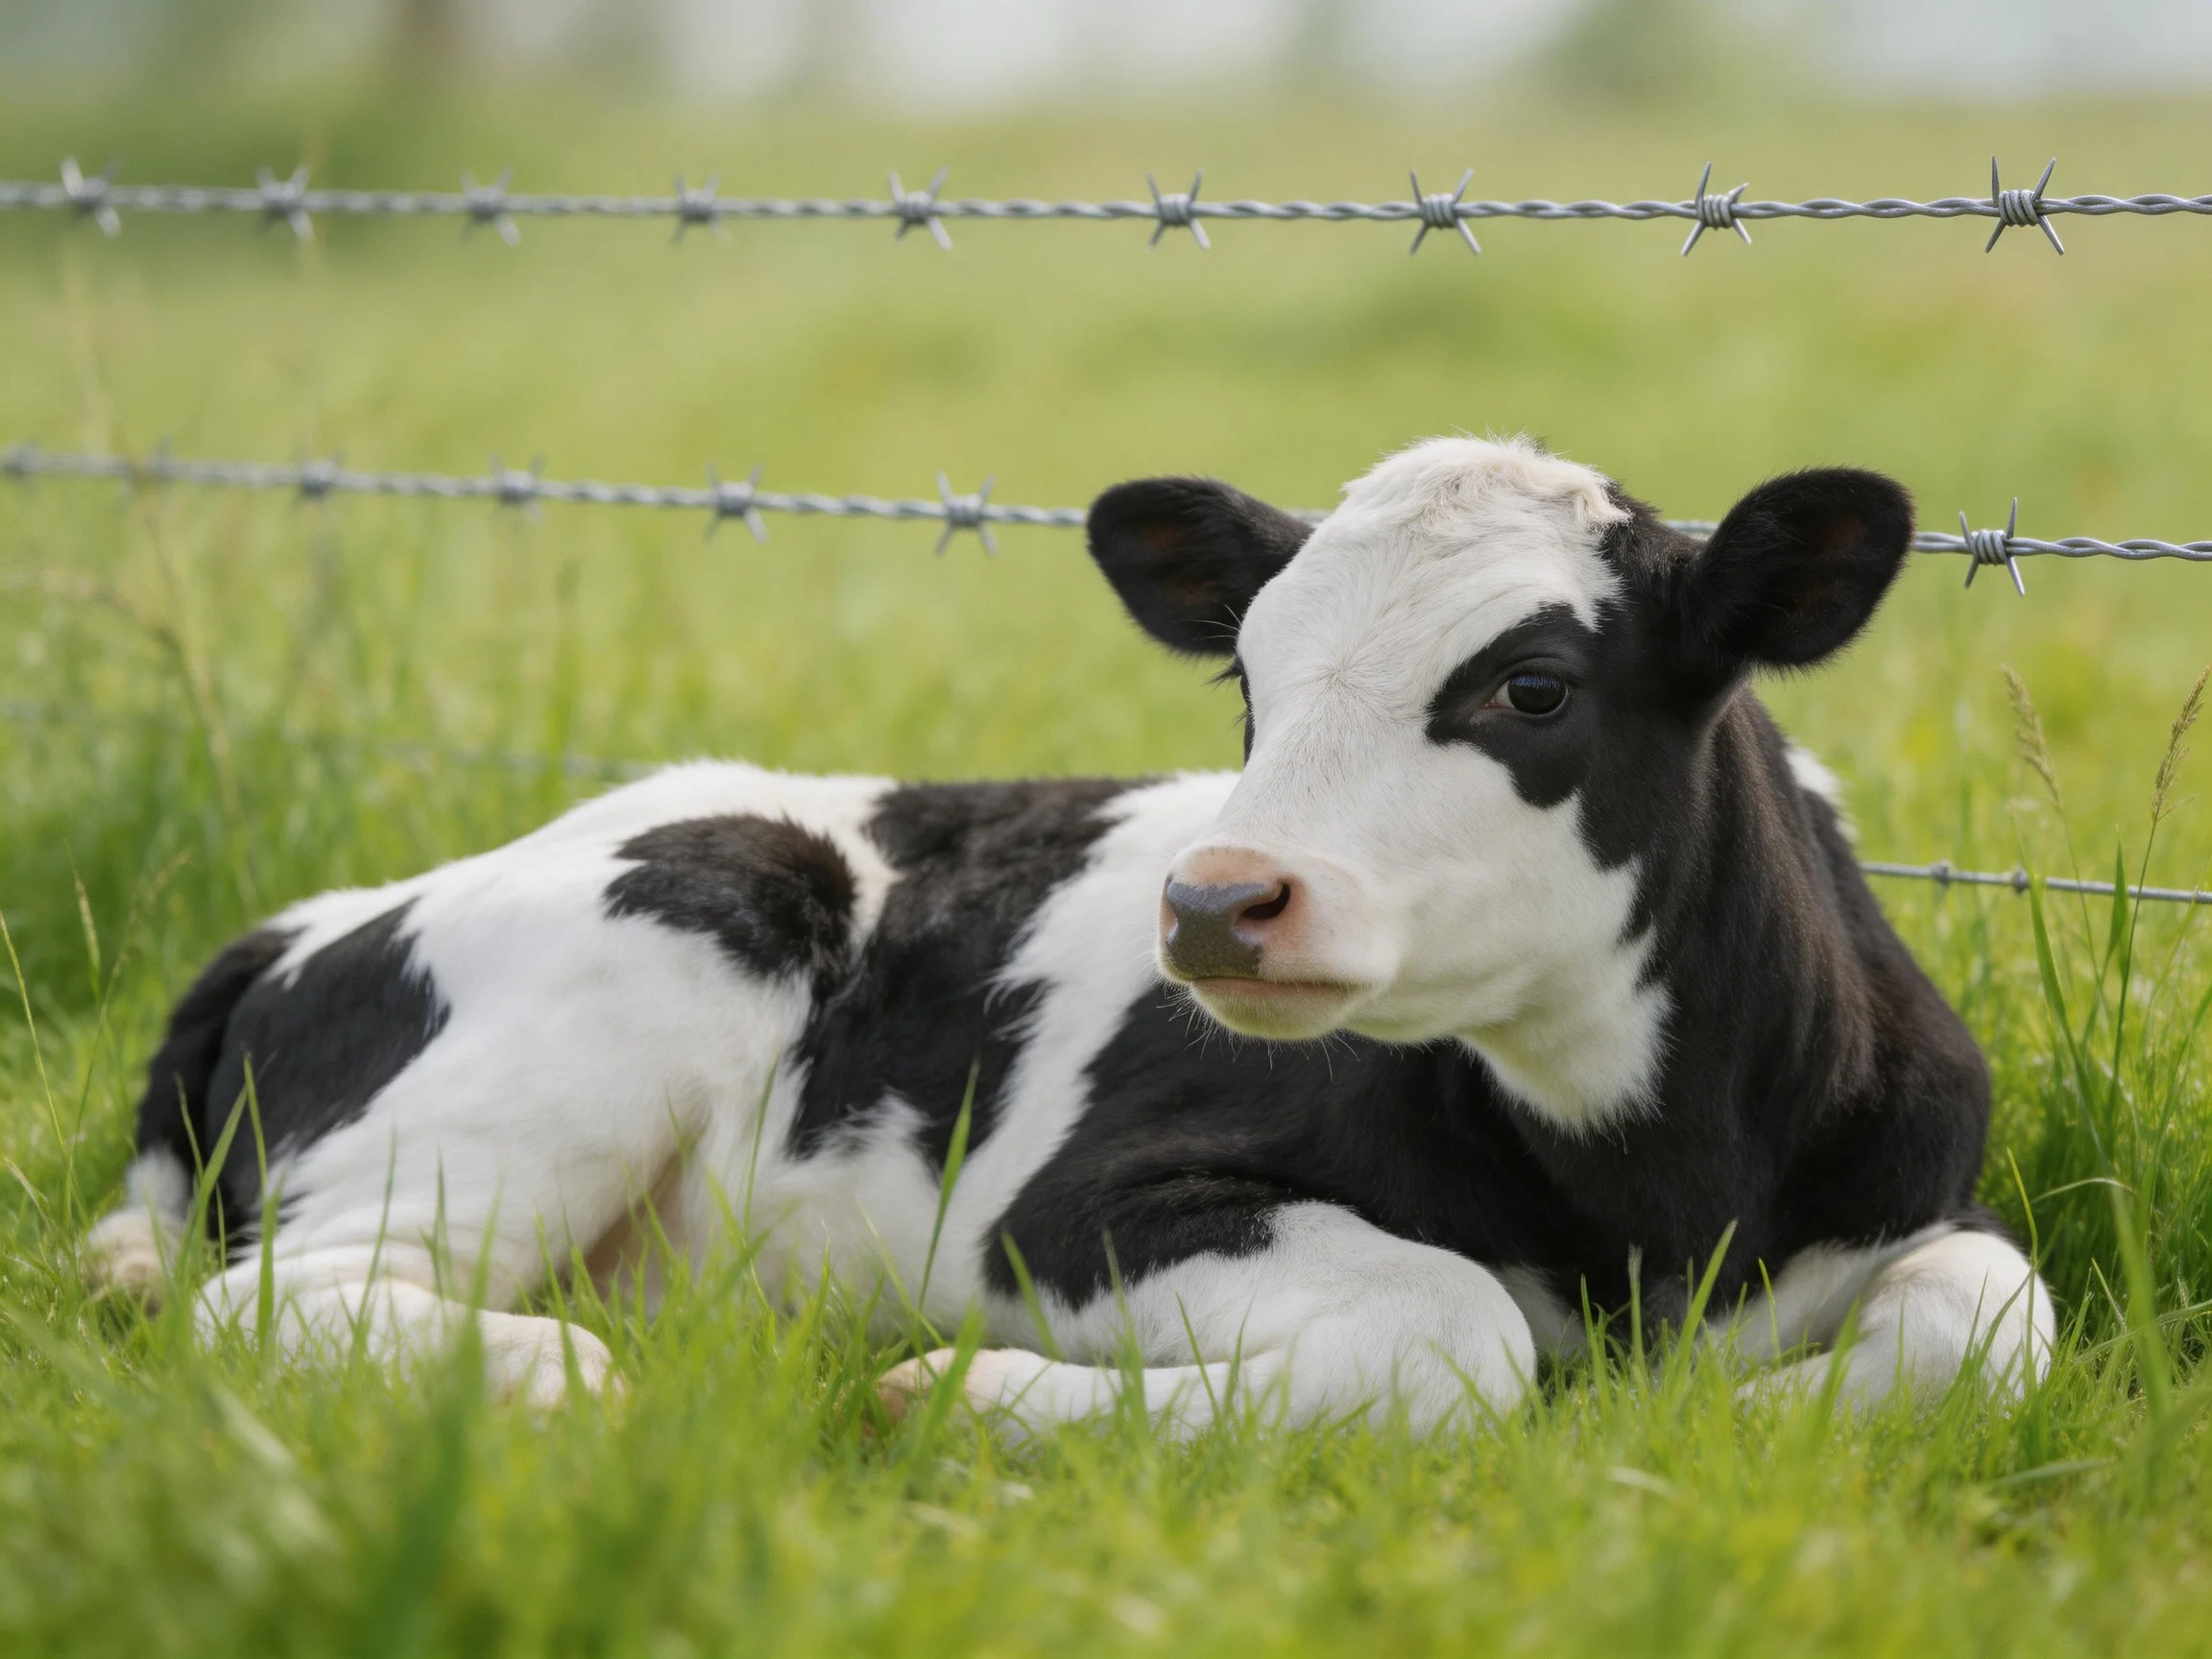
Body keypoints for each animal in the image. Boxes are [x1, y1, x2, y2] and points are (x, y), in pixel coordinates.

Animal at [86, 436, 2051, 1429]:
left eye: (1533, 685)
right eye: (1247, 680)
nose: (1214, 895)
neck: (1657, 1203)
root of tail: (325, 914)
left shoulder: (1917, 1192)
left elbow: (1989, 1324)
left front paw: (1752, 1427)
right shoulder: (1074, 1204)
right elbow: (1455, 1338)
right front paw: (971, 1396)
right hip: (658, 949)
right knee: (276, 1293)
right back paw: (546, 1370)